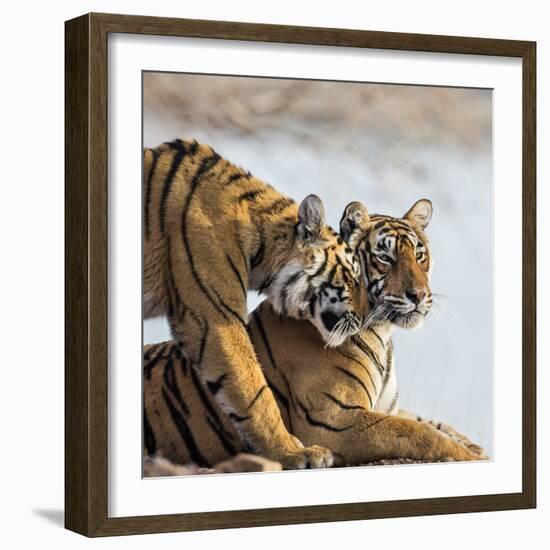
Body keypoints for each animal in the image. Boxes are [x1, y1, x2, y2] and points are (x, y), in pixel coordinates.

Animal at [143, 201, 488, 472]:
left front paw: (475, 447)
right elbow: (420, 433)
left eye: (420, 255)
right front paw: (469, 458)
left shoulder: (385, 407)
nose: (418, 295)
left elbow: (434, 424)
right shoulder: (334, 420)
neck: (382, 333)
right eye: (385, 258)